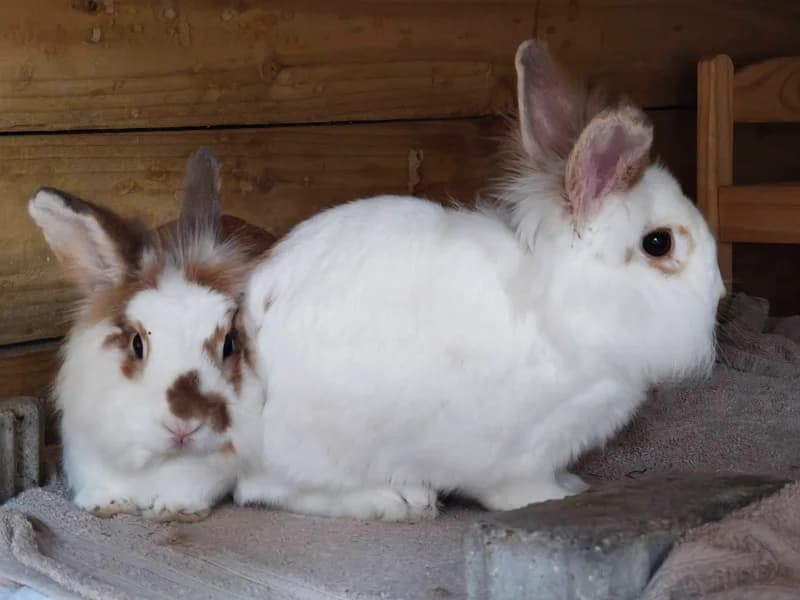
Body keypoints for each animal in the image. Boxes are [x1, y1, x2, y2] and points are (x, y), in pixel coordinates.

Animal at [232, 39, 726, 521]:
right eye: (659, 243)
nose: (720, 293)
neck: (567, 308)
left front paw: (572, 484)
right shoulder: (522, 450)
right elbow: (518, 487)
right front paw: (555, 497)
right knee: (269, 489)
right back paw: (397, 501)